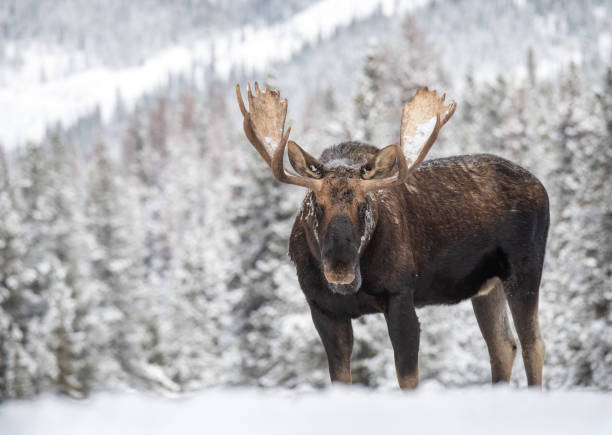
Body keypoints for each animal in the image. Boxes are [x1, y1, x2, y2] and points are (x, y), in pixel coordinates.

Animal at [235, 83, 548, 390]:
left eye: (364, 205)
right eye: (316, 204)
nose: (340, 269)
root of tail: (541, 186)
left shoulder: (400, 296)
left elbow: (407, 378)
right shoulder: (323, 308)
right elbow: (341, 379)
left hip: (524, 270)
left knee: (533, 344)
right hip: (486, 286)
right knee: (503, 346)